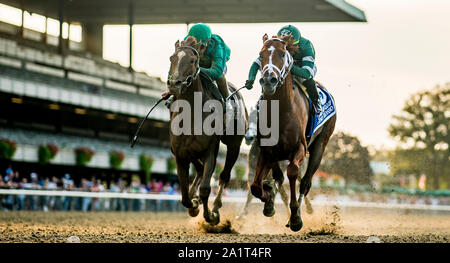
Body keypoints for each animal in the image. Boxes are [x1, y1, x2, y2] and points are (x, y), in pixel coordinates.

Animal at [167, 36, 248, 227]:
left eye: (192, 60)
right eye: (171, 58)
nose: (174, 84)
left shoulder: (211, 149)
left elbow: (205, 188)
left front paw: (211, 216)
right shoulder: (180, 154)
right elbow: (184, 195)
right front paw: (194, 204)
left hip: (234, 145)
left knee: (224, 176)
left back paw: (216, 207)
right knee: (199, 169)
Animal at [251, 34, 336, 232]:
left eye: (282, 54)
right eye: (261, 54)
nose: (269, 81)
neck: (281, 112)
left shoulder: (299, 148)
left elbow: (292, 172)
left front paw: (295, 216)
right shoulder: (267, 151)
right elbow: (257, 186)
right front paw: (269, 200)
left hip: (320, 145)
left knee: (305, 183)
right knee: (279, 178)